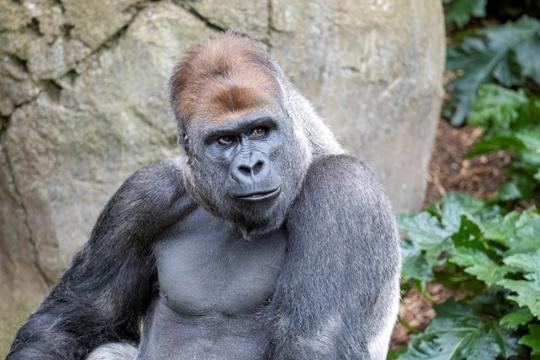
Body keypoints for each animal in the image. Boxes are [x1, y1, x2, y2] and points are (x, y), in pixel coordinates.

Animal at [4, 32, 400, 358]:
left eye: (260, 131)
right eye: (224, 140)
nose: (251, 166)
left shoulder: (345, 191)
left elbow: (315, 341)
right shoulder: (141, 196)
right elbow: (74, 321)